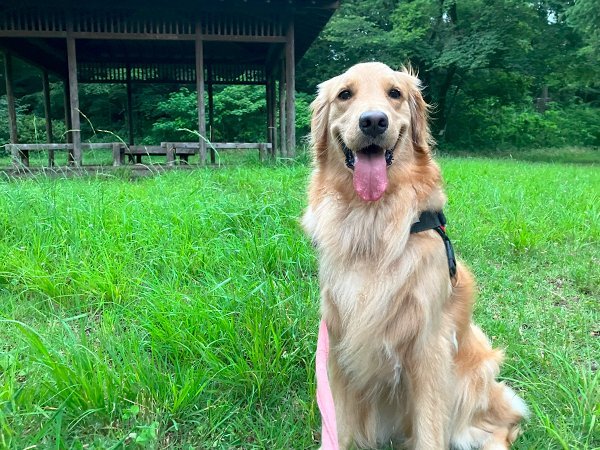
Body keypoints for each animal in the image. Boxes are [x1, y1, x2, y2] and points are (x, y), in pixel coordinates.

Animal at [302, 61, 528, 448]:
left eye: (394, 93)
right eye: (345, 94)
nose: (373, 121)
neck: (372, 225)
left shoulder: (429, 349)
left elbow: (429, 432)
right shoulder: (338, 346)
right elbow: (339, 430)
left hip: (473, 375)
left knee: (502, 425)